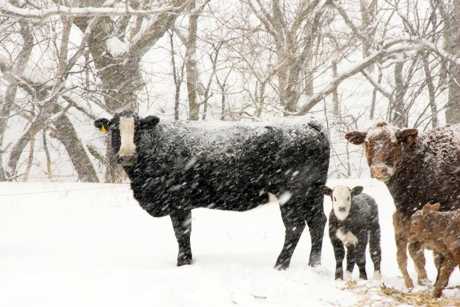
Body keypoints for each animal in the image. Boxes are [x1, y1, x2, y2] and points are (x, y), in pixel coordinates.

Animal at [93, 112, 330, 268]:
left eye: (138, 129)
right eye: (114, 129)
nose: (126, 156)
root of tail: (307, 123)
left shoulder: (179, 200)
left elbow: (182, 232)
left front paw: (183, 263)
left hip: (291, 193)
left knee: (294, 226)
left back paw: (280, 265)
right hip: (313, 192)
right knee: (317, 221)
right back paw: (314, 264)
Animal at [344, 122, 460, 288]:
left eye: (394, 143)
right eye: (367, 142)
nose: (379, 169)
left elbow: (434, 254)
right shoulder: (408, 214)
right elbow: (415, 250)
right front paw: (423, 280)